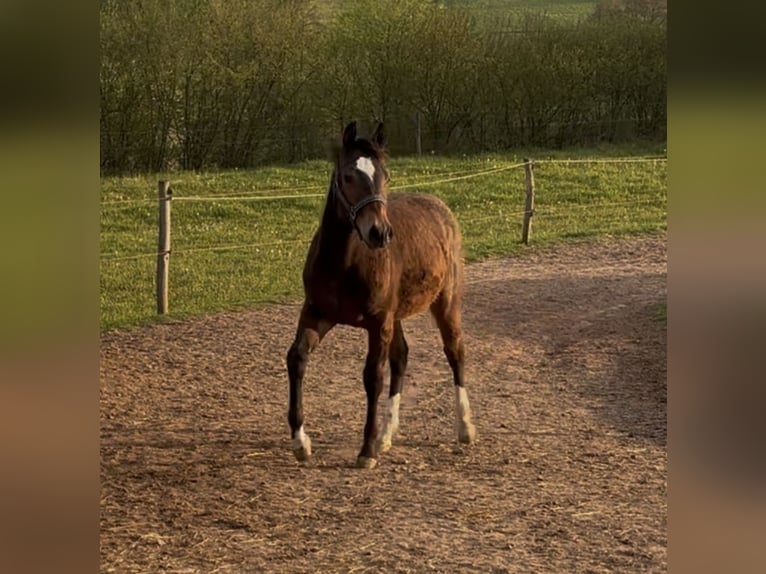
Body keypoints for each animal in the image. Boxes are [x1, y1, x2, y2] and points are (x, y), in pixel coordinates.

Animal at [286, 121, 476, 468]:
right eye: (348, 175)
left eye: (384, 175)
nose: (379, 233)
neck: (344, 263)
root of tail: (440, 207)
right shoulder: (317, 313)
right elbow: (297, 358)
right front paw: (301, 442)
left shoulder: (377, 322)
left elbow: (373, 376)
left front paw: (366, 451)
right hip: (396, 316)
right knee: (401, 357)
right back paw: (388, 434)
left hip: (445, 303)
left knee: (455, 351)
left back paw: (465, 428)